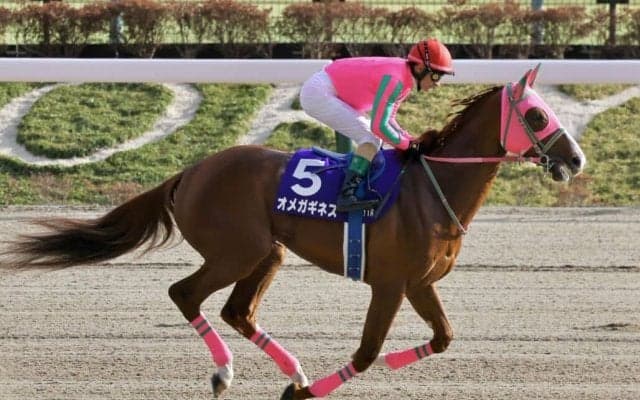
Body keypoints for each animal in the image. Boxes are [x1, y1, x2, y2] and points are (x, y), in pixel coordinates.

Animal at [0, 65, 585, 399]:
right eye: (537, 115)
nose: (576, 160)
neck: (432, 186)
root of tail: (191, 170)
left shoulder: (419, 283)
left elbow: (442, 338)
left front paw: (376, 367)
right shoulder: (390, 284)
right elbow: (366, 351)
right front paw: (310, 391)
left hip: (269, 253)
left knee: (237, 311)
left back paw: (294, 371)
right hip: (238, 251)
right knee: (184, 293)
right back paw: (227, 373)